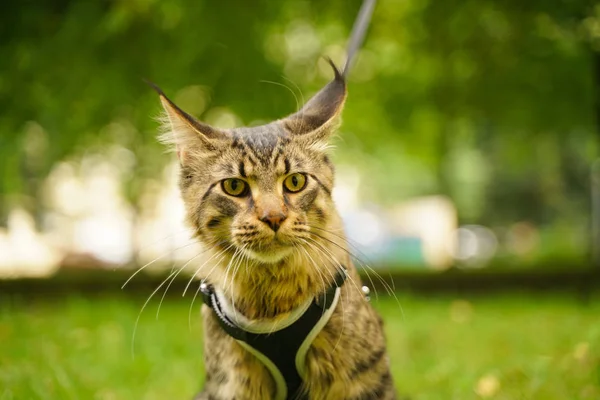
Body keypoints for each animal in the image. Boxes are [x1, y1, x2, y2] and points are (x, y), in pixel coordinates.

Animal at [150, 1, 396, 398]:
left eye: (294, 182)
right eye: (234, 187)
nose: (274, 217)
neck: (271, 300)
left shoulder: (362, 377)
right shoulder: (233, 381)